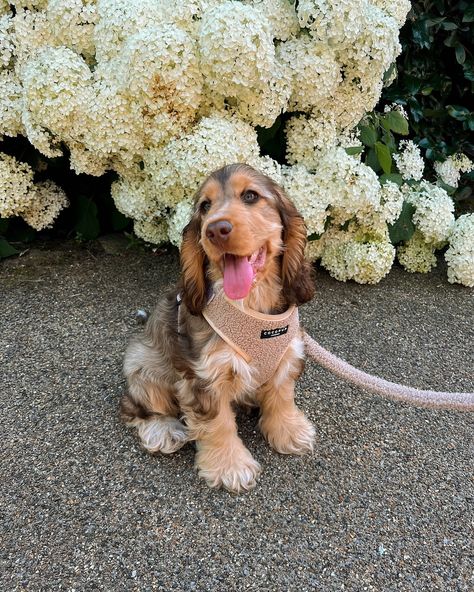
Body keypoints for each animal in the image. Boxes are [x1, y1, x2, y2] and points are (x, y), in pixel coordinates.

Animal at [121, 164, 314, 492]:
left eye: (250, 196)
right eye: (205, 206)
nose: (215, 229)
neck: (251, 308)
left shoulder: (288, 355)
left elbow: (282, 396)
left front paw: (290, 431)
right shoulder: (204, 375)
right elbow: (218, 423)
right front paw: (230, 467)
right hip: (143, 366)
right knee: (135, 407)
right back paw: (164, 431)